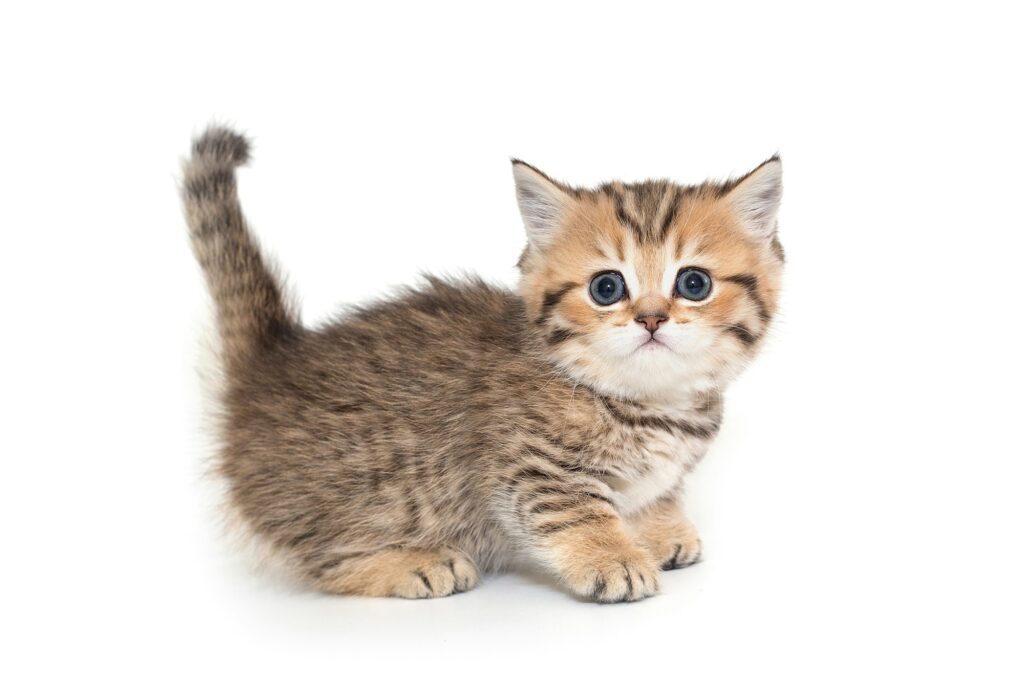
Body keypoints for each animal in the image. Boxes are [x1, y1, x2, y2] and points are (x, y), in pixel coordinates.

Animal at [182, 125, 782, 602]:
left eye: (694, 283)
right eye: (607, 288)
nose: (652, 318)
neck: (648, 403)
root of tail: (267, 368)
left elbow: (657, 491)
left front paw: (659, 529)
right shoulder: (528, 467)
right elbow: (575, 510)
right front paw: (612, 556)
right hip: (369, 491)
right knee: (322, 561)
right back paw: (412, 563)